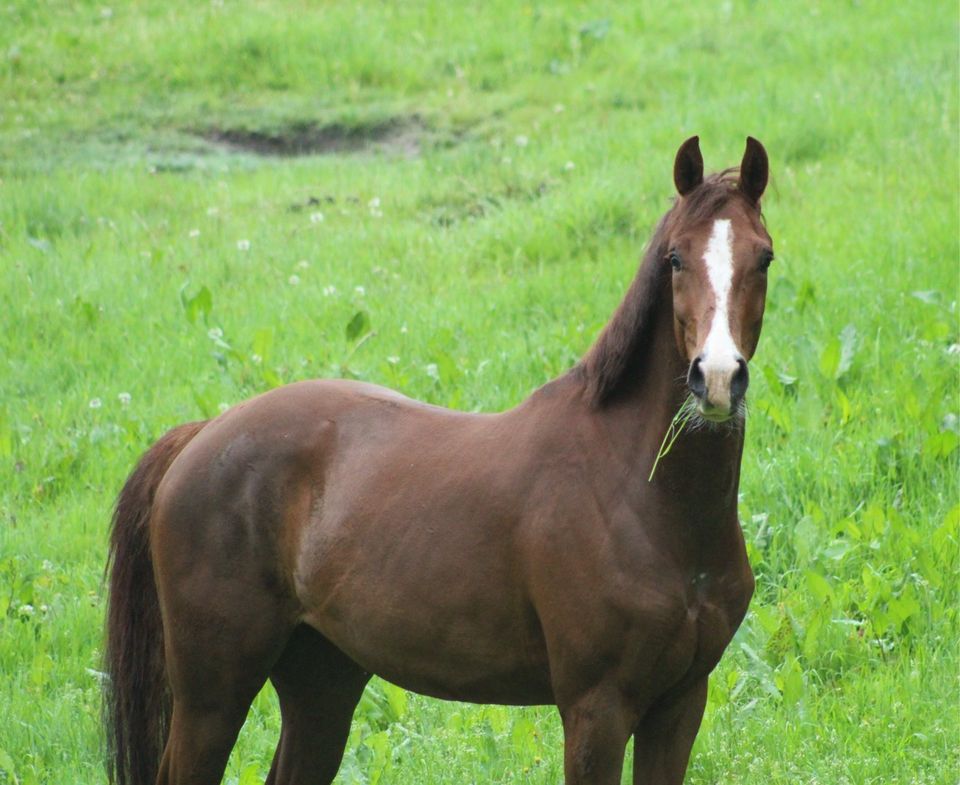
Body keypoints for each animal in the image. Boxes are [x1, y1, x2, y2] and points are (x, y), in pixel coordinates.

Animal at [107, 136, 772, 784]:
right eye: (675, 258)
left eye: (763, 257)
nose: (716, 379)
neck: (641, 497)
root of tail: (202, 434)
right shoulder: (596, 710)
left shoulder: (680, 703)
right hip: (212, 695)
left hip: (322, 683)